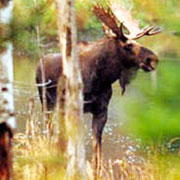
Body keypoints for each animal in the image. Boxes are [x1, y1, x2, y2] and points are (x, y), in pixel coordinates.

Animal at [36, 3, 162, 172]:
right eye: (128, 45)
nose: (153, 59)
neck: (101, 78)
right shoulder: (74, 107)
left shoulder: (101, 111)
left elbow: (97, 149)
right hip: (47, 102)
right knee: (51, 131)